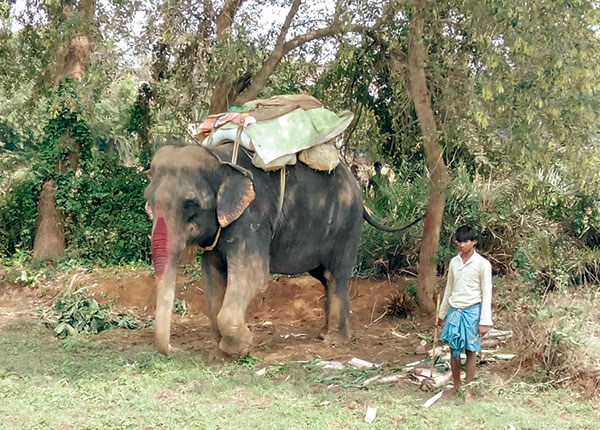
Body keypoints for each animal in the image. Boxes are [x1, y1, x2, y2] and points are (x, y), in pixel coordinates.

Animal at [144, 143, 404, 358]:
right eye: (148, 201)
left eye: (190, 204)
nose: (173, 350)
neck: (219, 159)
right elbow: (212, 277)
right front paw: (223, 348)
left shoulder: (252, 217)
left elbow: (253, 276)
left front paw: (242, 348)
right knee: (324, 277)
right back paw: (324, 334)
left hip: (346, 224)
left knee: (336, 275)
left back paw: (334, 341)